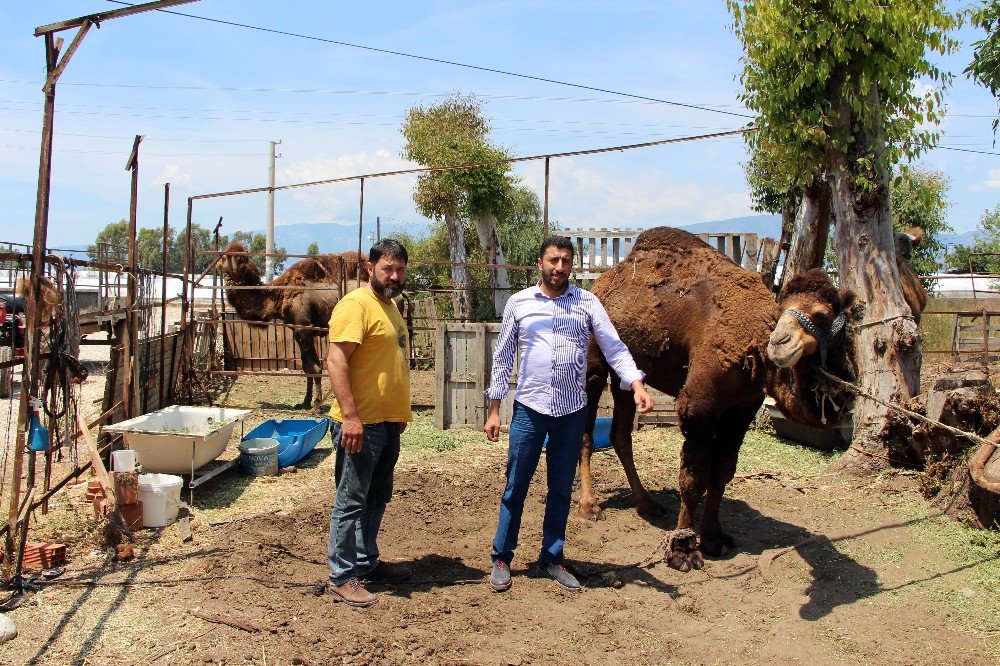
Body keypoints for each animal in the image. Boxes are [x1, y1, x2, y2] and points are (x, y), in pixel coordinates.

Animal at [221, 243, 370, 410]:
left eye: (239, 258)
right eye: (226, 254)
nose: (219, 263)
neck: (278, 296)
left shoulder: (304, 327)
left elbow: (315, 366)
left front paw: (316, 404)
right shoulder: (296, 329)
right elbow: (306, 367)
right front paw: (304, 402)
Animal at [584, 228, 856, 572]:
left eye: (822, 314)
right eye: (778, 314)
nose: (779, 343)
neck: (751, 345)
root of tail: (599, 283)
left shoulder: (743, 406)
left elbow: (723, 471)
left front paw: (714, 539)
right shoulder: (699, 405)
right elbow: (694, 477)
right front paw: (683, 549)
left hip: (628, 371)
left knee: (620, 433)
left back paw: (646, 504)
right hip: (593, 363)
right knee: (586, 427)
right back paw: (589, 506)